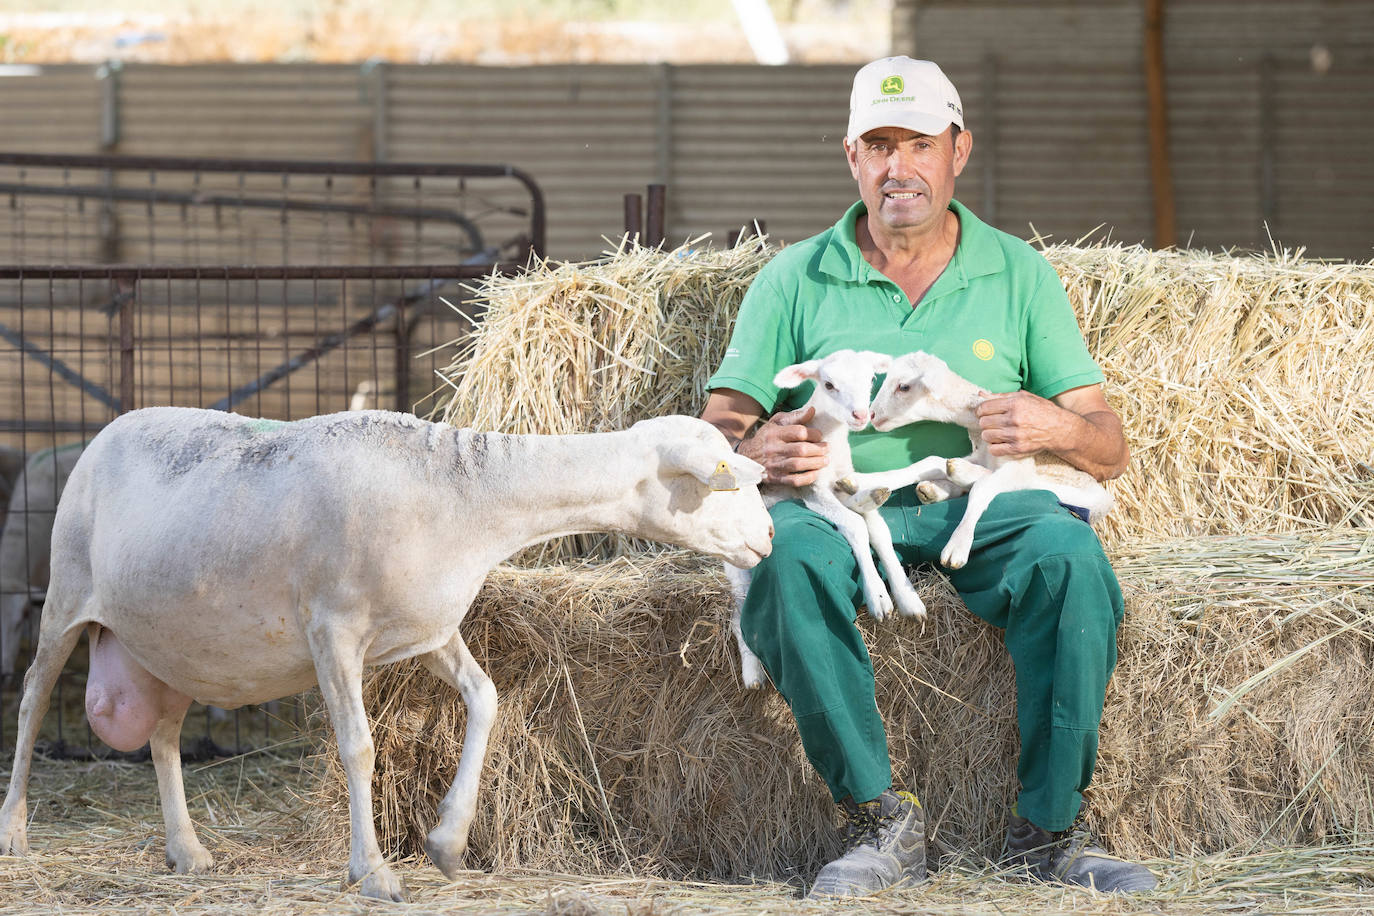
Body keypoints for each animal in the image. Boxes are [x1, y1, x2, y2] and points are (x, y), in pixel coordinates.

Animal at [0, 409, 774, 900]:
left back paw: (187, 851)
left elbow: (487, 699)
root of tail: (108, 429)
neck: (470, 500)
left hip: (175, 643)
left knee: (162, 736)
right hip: (65, 594)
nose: (768, 538)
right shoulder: (333, 631)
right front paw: (372, 873)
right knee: (33, 703)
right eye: (721, 481)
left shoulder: (429, 629)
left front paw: (448, 842)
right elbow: (360, 748)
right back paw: (16, 831)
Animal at [730, 348, 923, 686]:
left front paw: (906, 597)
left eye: (870, 380)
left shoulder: (844, 482)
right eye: (829, 384)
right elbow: (857, 526)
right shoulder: (813, 489)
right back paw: (752, 672)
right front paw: (879, 597)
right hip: (737, 561)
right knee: (737, 613)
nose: (861, 415)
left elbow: (878, 528)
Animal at [835, 354, 1115, 574]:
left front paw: (957, 546)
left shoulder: (1018, 465)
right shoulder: (979, 455)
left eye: (903, 387)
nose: (871, 414)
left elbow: (982, 488)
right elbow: (928, 462)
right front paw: (863, 481)